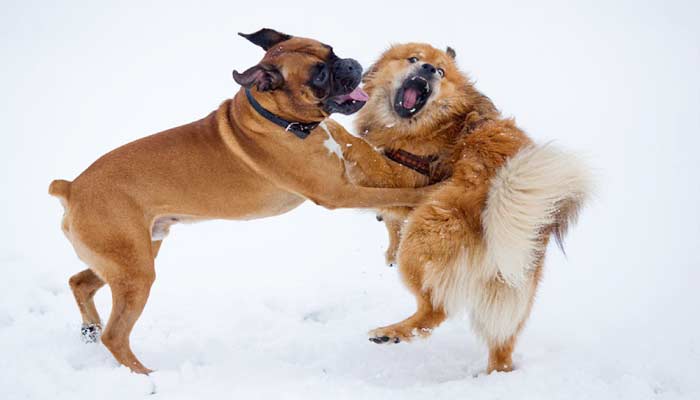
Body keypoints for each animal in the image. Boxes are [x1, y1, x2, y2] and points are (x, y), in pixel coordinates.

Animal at [47, 28, 432, 376]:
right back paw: (145, 375)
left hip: (134, 256)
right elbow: (395, 195)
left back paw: (90, 328)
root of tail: (72, 188)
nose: (350, 64)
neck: (281, 119)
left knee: (80, 283)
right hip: (136, 272)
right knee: (116, 336)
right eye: (319, 74)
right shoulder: (340, 192)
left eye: (331, 50)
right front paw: (429, 192)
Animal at [328, 43, 592, 372]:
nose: (428, 69)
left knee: (435, 311)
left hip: (424, 237)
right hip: (508, 288)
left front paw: (330, 127)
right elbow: (390, 217)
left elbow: (361, 149)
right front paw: (389, 248)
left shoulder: (400, 176)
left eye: (441, 71)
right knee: (501, 342)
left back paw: (391, 333)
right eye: (413, 59)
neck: (438, 124)